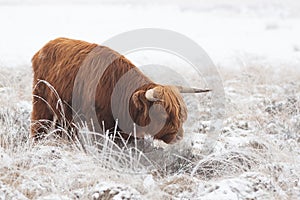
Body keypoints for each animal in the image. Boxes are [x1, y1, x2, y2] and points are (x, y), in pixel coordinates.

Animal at [29, 38, 209, 144]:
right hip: (40, 101)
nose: (178, 136)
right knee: (40, 124)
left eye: (180, 113)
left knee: (62, 128)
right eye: (161, 114)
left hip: (63, 111)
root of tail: (46, 46)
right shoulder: (98, 123)